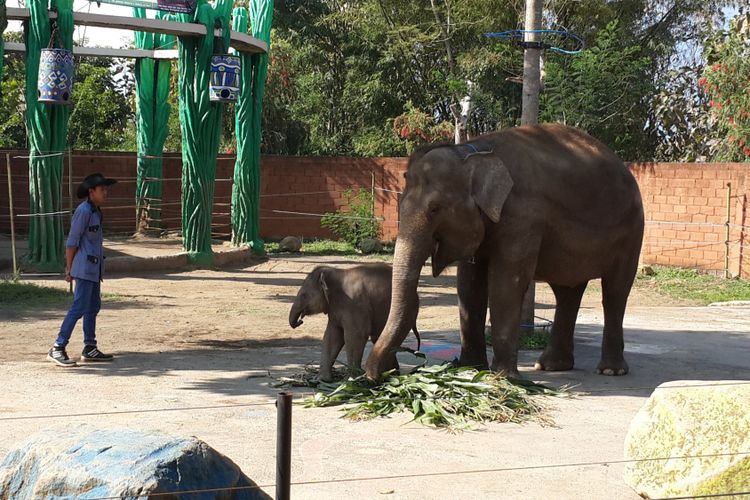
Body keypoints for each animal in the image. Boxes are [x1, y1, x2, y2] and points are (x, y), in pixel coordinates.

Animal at [292, 264, 424, 380]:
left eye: (303, 295)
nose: (299, 321)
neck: (336, 272)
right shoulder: (335, 309)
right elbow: (332, 336)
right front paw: (321, 380)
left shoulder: (354, 303)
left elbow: (355, 335)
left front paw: (351, 380)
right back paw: (391, 374)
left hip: (408, 312)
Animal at [366, 124, 648, 378]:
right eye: (401, 204)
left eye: (435, 209)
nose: (375, 376)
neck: (471, 154)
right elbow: (469, 285)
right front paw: (468, 368)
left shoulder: (523, 216)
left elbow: (507, 282)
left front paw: (503, 377)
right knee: (567, 292)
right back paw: (550, 366)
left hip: (632, 232)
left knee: (615, 292)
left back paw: (610, 370)